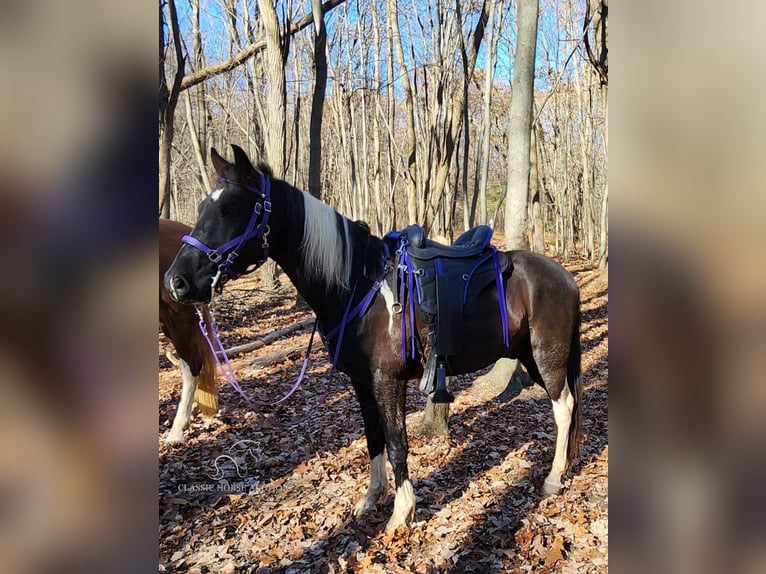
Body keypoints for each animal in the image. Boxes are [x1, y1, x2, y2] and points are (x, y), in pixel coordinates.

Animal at [165, 146, 584, 532]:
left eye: (232, 209)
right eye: (203, 207)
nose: (176, 281)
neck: (358, 284)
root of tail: (564, 277)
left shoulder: (387, 380)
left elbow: (397, 443)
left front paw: (402, 513)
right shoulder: (362, 383)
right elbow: (373, 438)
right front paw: (372, 497)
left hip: (547, 356)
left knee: (563, 406)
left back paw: (552, 479)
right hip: (529, 355)